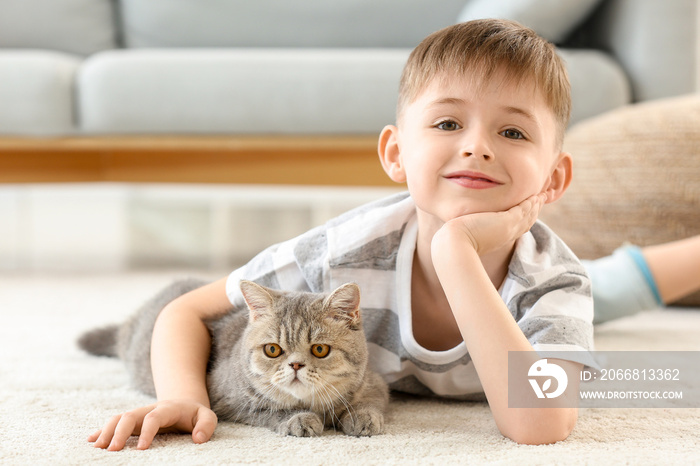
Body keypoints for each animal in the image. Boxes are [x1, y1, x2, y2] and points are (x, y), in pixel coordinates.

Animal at [80, 280, 394, 436]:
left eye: (319, 350)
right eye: (272, 350)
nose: (295, 364)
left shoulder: (374, 382)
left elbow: (368, 401)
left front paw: (361, 418)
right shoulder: (228, 401)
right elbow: (271, 410)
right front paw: (299, 420)